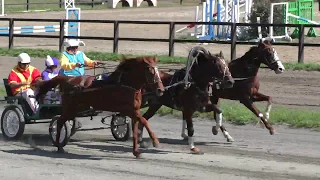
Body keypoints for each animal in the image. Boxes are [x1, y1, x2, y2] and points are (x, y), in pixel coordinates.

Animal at [35, 55, 165, 157]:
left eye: (159, 71)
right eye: (151, 72)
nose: (161, 90)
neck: (125, 85)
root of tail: (68, 79)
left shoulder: (135, 111)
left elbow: (137, 128)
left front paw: (136, 151)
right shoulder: (128, 110)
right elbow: (144, 120)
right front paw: (155, 141)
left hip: (77, 108)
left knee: (65, 120)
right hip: (70, 107)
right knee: (60, 121)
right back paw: (59, 145)